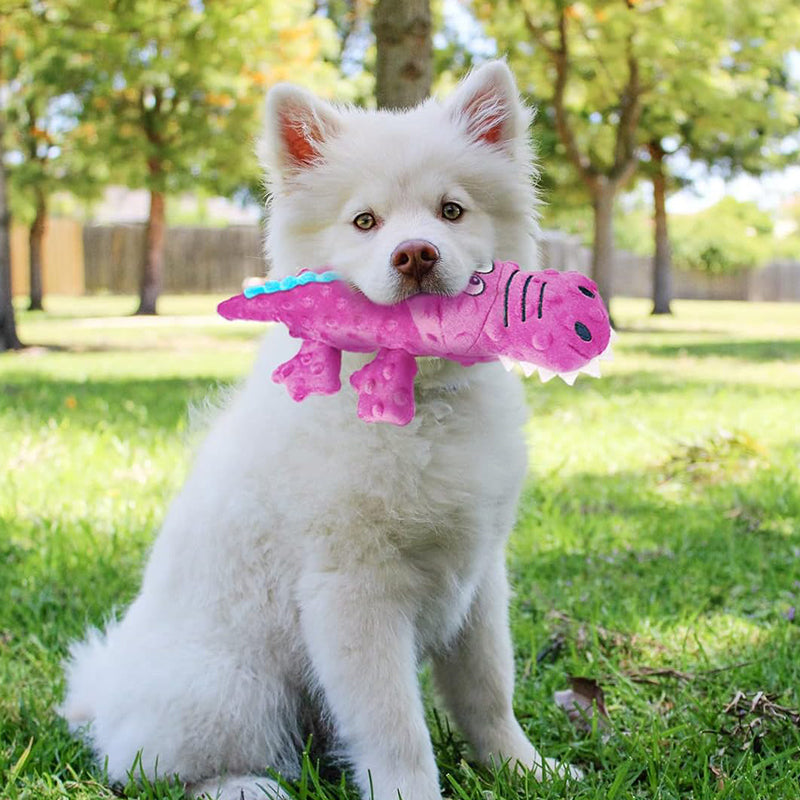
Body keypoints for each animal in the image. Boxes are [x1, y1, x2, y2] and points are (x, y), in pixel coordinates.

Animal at [61, 62, 580, 800]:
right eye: (364, 221)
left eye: (451, 210)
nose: (415, 254)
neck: (419, 401)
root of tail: (102, 699)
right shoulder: (353, 592)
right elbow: (396, 729)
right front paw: (413, 792)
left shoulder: (479, 578)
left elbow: (488, 692)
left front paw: (524, 770)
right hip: (232, 690)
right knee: (150, 767)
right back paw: (243, 787)